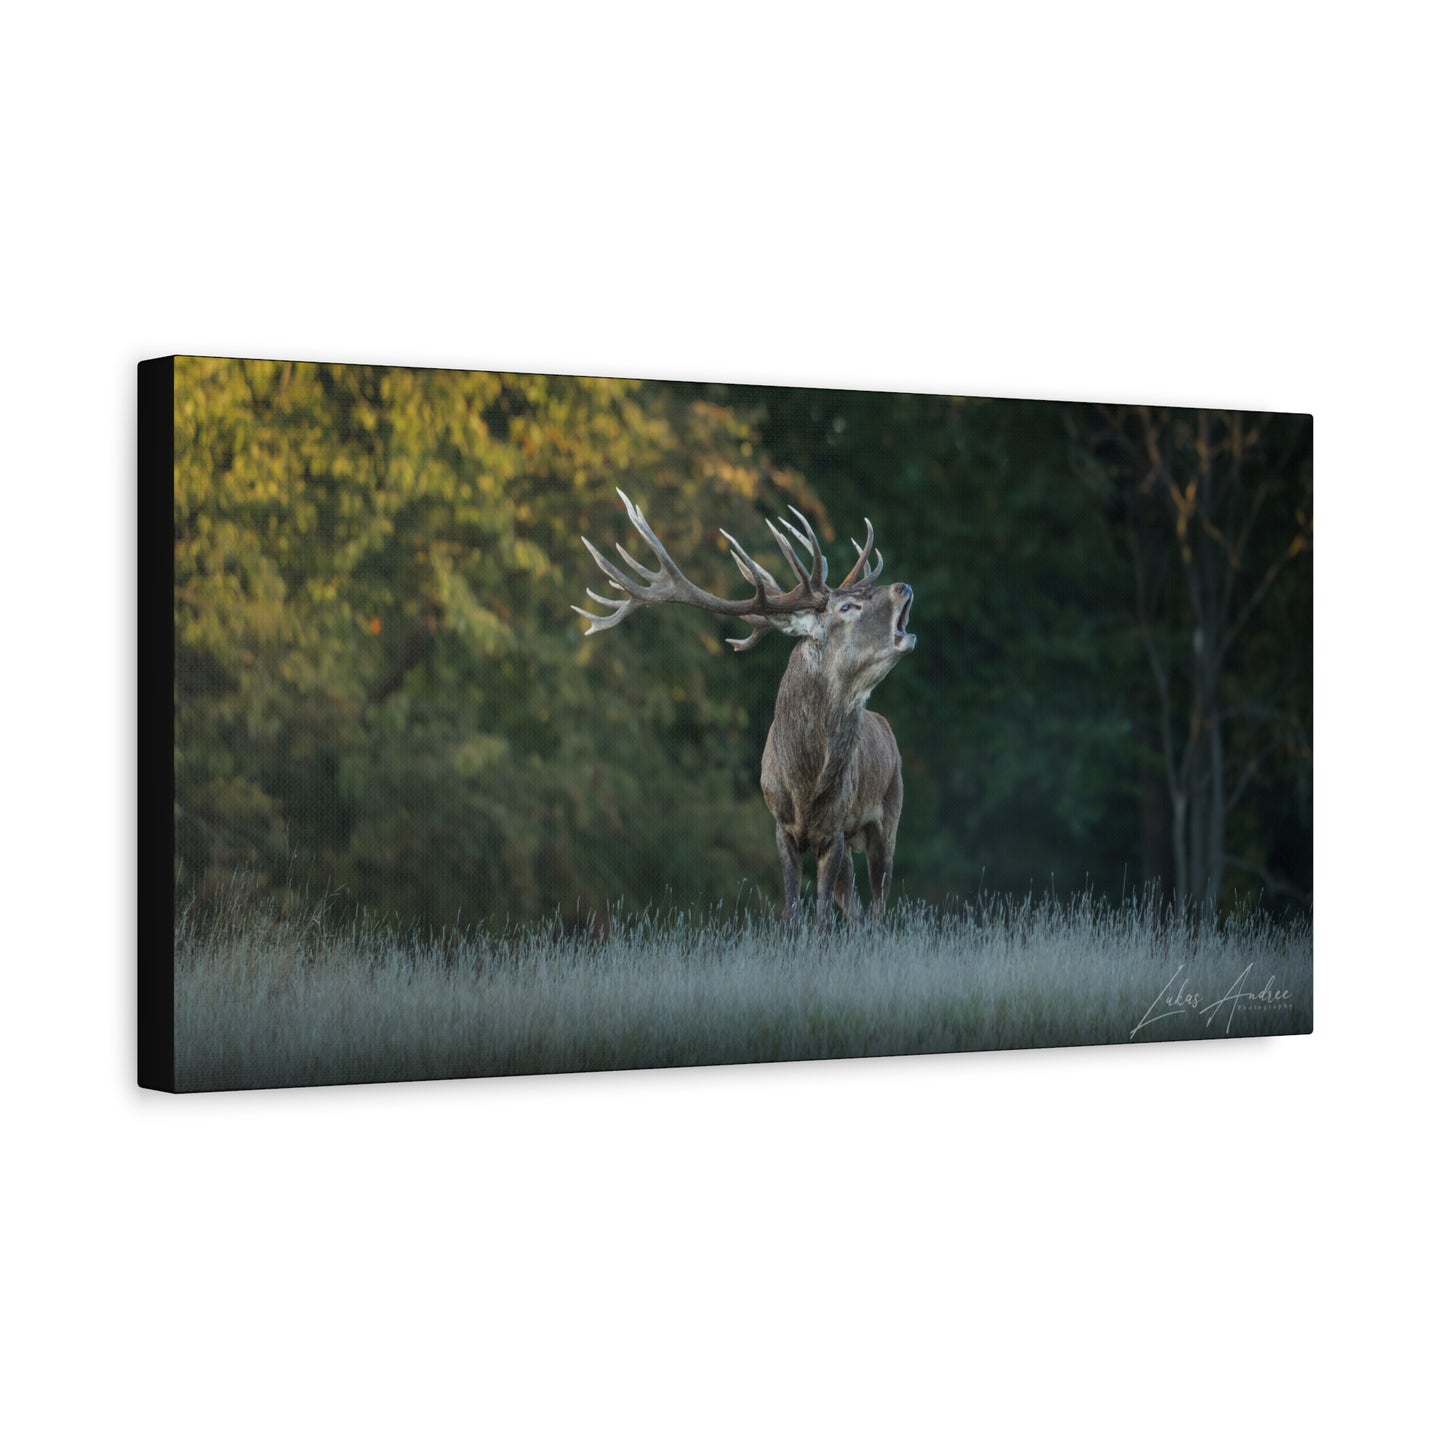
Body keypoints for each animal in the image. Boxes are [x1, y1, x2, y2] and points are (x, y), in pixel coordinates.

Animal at [575, 490, 915, 929]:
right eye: (847, 607)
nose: (903, 587)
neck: (807, 784)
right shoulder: (782, 827)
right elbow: (793, 914)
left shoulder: (836, 828)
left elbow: (822, 918)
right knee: (856, 906)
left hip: (890, 813)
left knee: (876, 908)